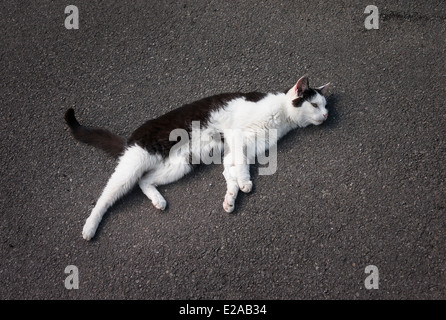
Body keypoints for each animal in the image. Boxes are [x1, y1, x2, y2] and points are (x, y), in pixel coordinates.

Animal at [67, 75, 332, 240]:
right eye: (315, 104)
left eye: (325, 105)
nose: (327, 115)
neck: (282, 116)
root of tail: (131, 139)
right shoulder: (237, 137)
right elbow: (241, 168)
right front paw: (245, 184)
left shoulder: (237, 149)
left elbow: (231, 172)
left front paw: (231, 198)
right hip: (135, 163)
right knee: (106, 196)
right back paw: (90, 227)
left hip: (180, 165)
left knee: (144, 180)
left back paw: (158, 200)